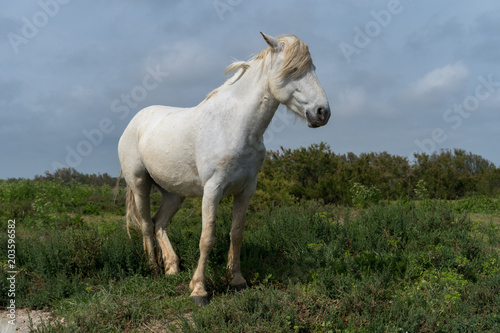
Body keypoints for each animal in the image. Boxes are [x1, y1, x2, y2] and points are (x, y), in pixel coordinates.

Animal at [116, 31, 328, 304]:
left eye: (312, 68)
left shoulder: (247, 190)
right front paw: (199, 290)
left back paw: (172, 268)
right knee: (145, 224)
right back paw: (154, 269)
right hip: (140, 185)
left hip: (174, 194)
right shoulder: (213, 190)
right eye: (292, 70)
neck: (235, 126)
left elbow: (236, 233)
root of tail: (135, 121)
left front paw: (237, 281)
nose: (322, 112)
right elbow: (207, 238)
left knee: (158, 223)